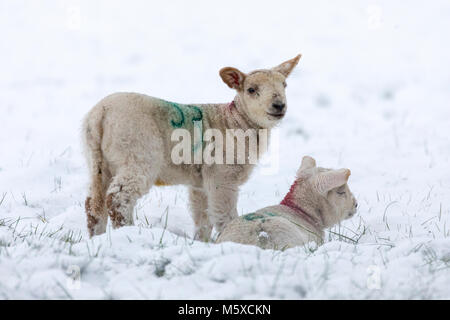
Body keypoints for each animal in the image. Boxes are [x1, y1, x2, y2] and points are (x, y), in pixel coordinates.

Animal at [83, 55, 302, 240]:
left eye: (284, 85)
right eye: (251, 89)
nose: (279, 105)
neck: (235, 122)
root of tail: (100, 114)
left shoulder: (200, 182)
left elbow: (202, 218)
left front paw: (201, 242)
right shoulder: (222, 176)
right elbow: (224, 214)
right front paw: (231, 236)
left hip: (97, 161)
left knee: (94, 203)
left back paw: (96, 237)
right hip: (137, 153)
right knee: (118, 198)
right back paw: (127, 231)